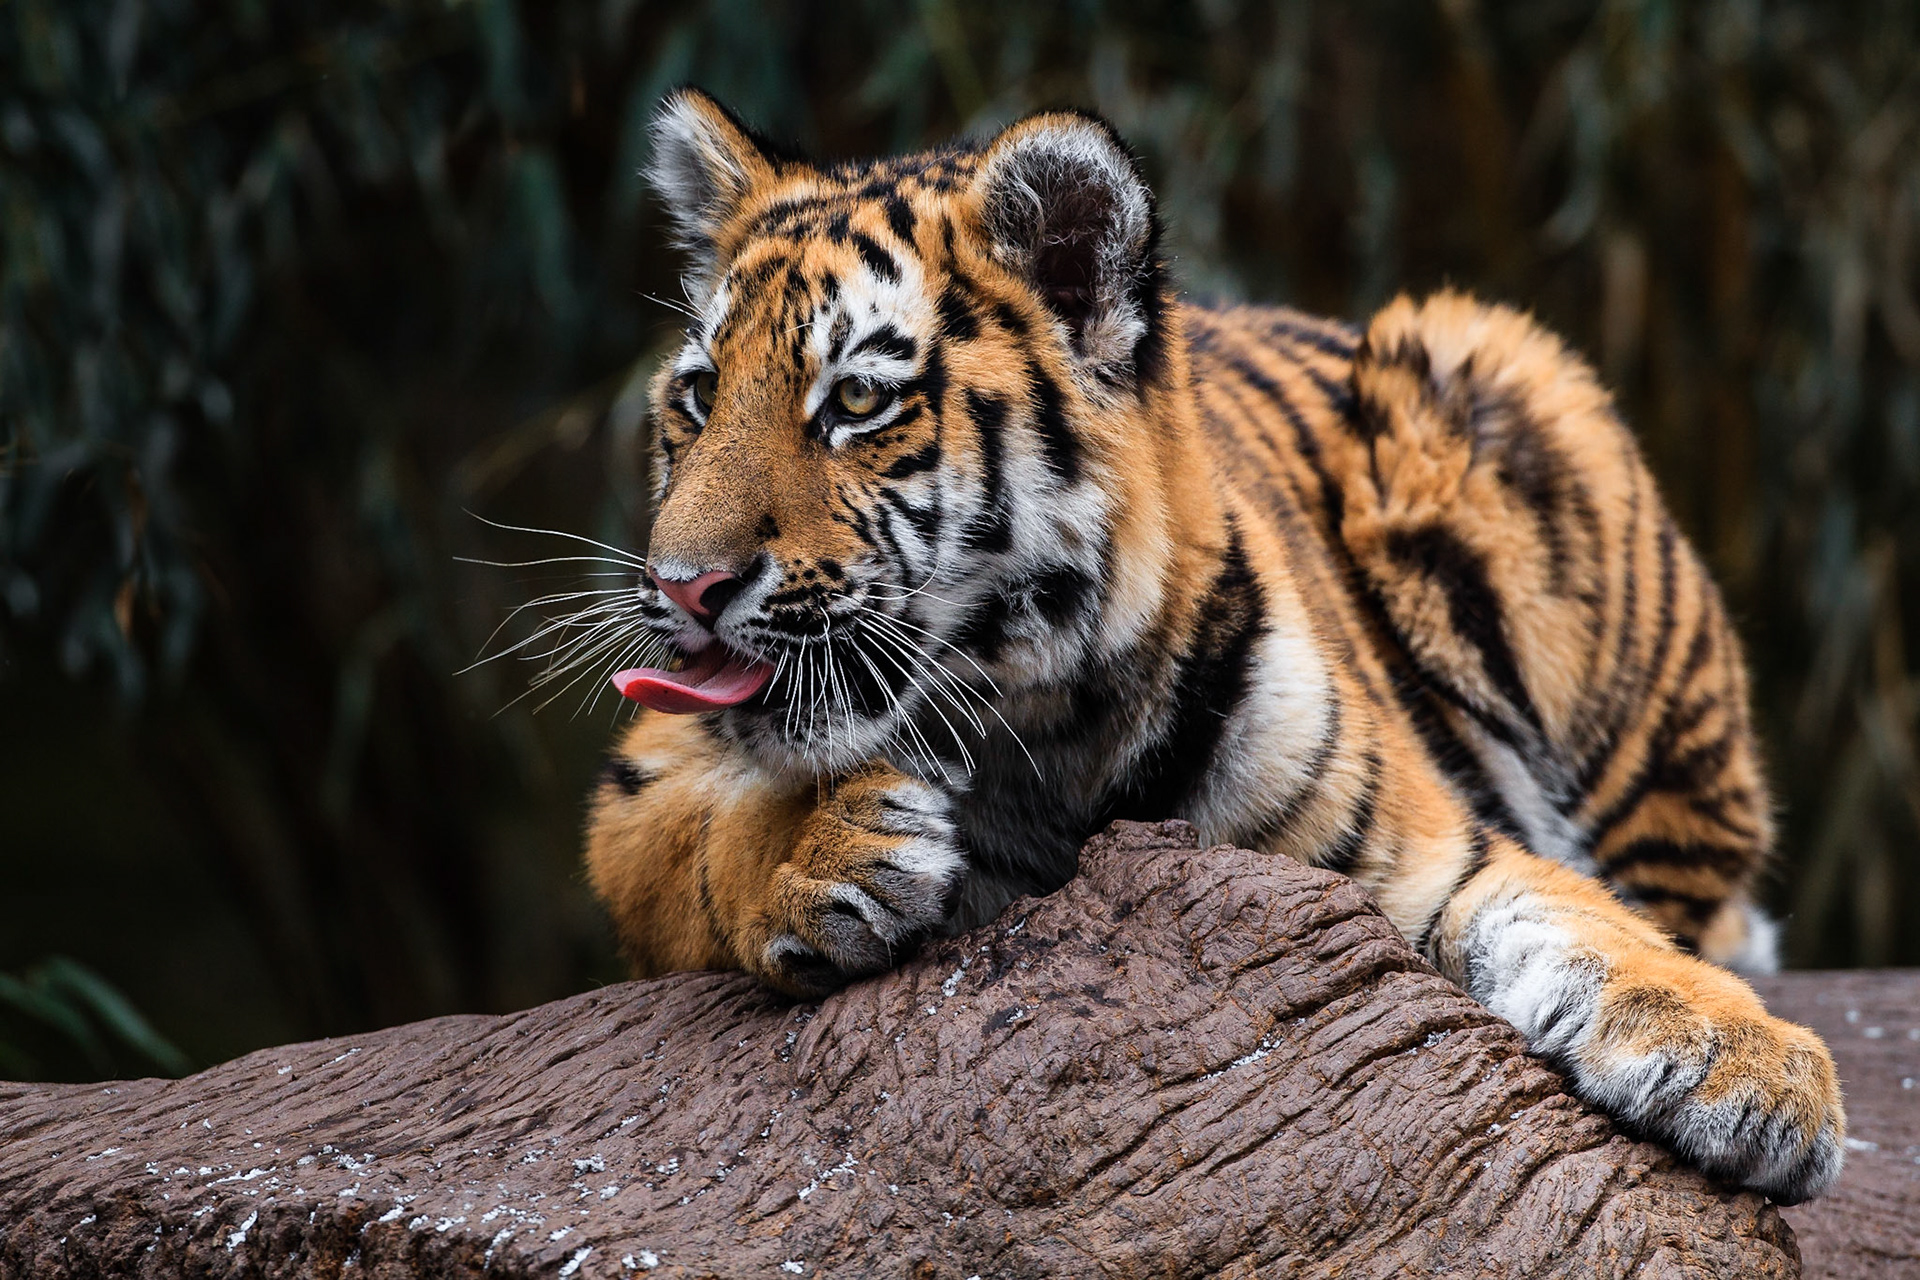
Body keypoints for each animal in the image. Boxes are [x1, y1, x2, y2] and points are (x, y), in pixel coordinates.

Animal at [580, 87, 1843, 1204]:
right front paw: (832, 850)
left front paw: (1757, 1071)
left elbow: (1590, 923)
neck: (1036, 720)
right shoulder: (635, 791)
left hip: (1488, 376)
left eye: (854, 402)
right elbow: (704, 838)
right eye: (698, 396)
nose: (682, 586)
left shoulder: (1412, 852)